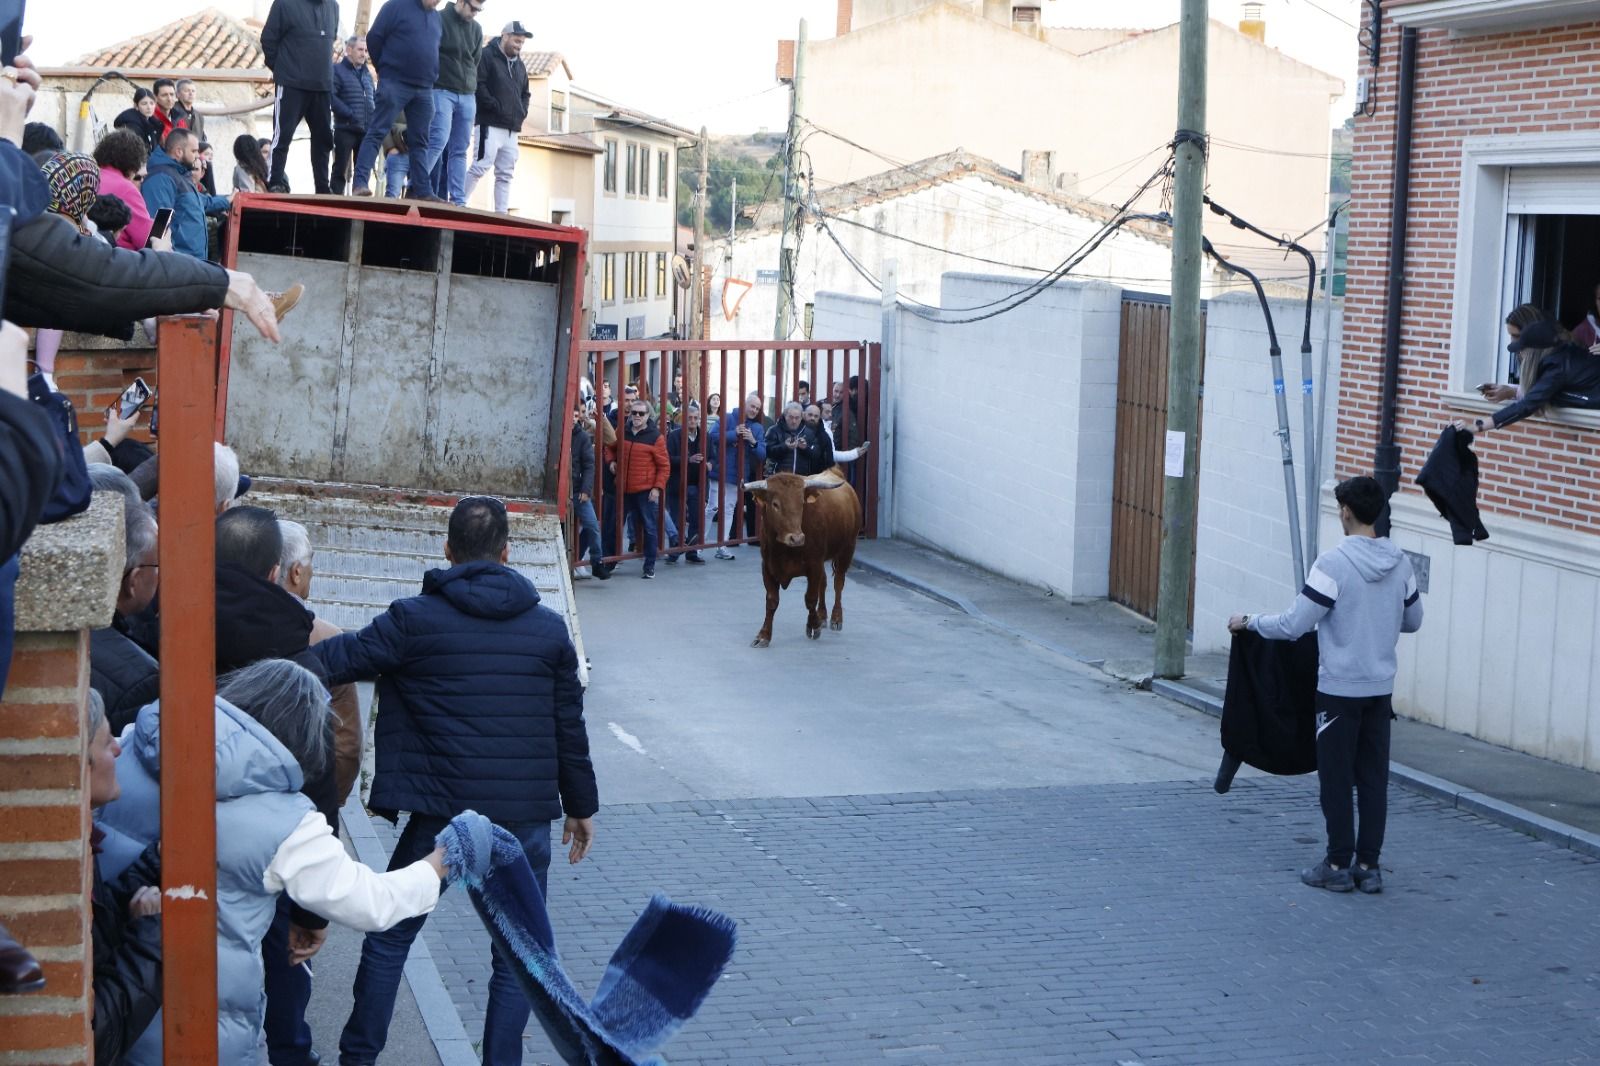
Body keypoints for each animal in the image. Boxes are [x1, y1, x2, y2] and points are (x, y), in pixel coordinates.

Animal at [745, 470, 864, 643]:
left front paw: (813, 626)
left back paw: (836, 618)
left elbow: (810, 599)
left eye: (802, 503)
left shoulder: (814, 565)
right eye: (775, 504)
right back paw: (822, 615)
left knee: (838, 583)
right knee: (824, 582)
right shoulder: (767, 567)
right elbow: (772, 601)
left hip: (848, 549)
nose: (797, 538)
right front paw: (763, 635)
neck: (784, 550)